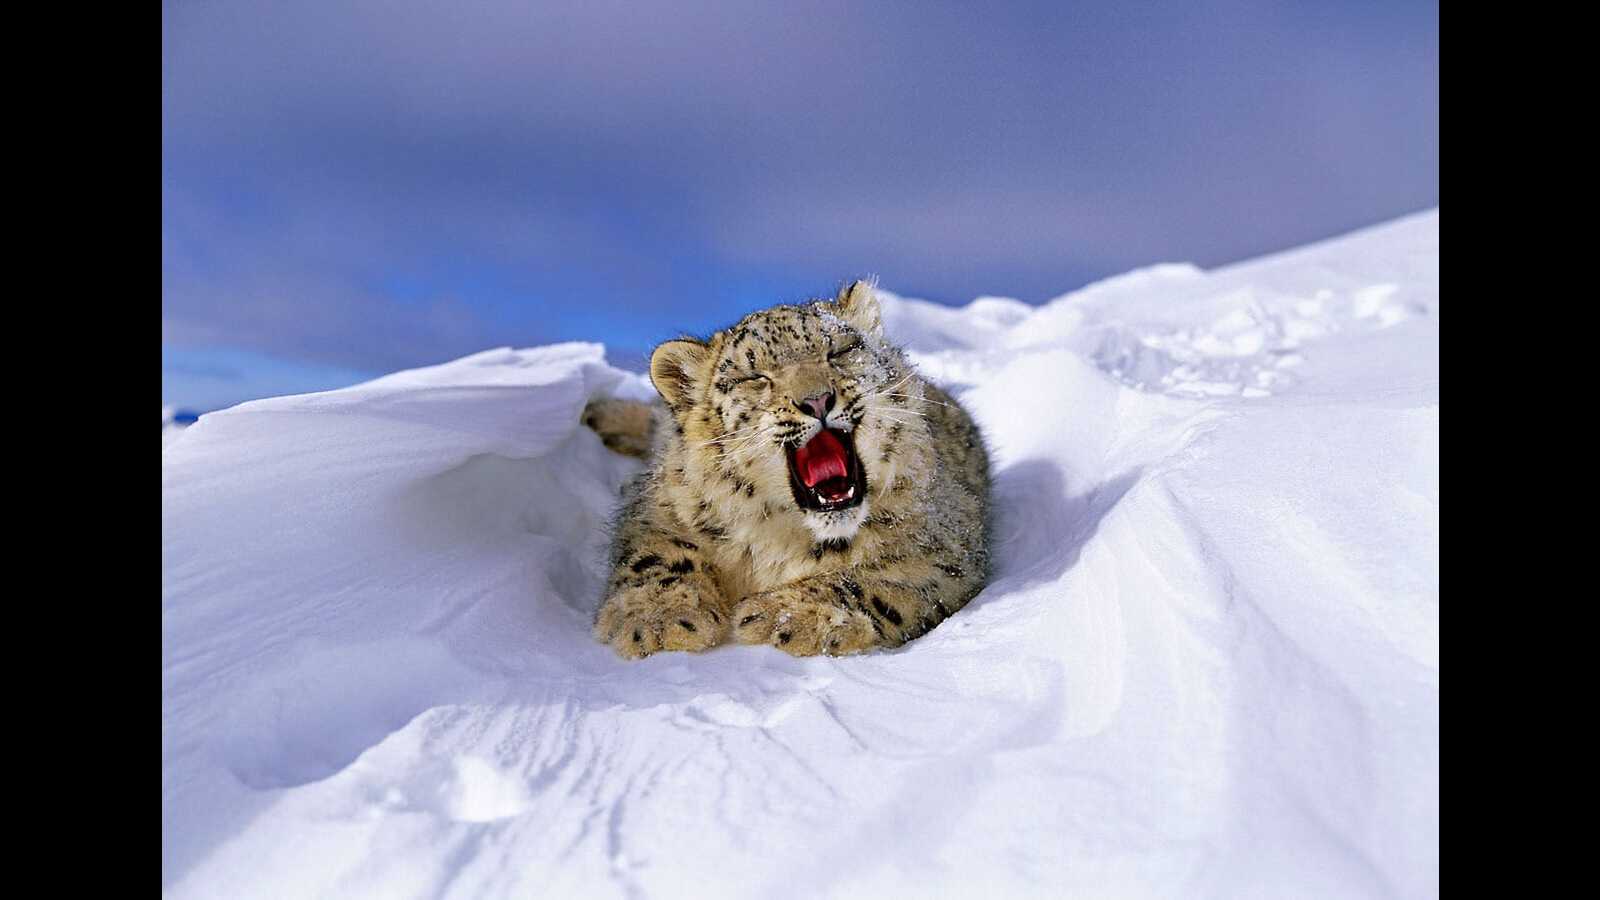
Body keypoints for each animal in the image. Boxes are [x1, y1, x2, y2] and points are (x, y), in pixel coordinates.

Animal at [583, 280, 990, 659]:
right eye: (755, 377)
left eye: (839, 351)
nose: (817, 399)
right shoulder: (658, 509)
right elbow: (656, 554)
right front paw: (657, 619)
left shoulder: (944, 550)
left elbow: (877, 582)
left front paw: (785, 616)